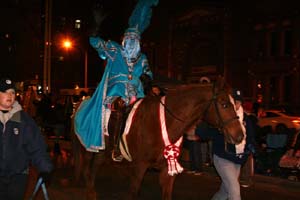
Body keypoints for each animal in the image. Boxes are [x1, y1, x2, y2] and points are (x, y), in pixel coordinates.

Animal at [71, 77, 245, 199]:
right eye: (224, 104)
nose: (240, 135)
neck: (163, 123)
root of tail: (80, 104)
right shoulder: (139, 167)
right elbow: (133, 192)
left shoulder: (167, 170)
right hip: (87, 148)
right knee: (86, 168)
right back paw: (89, 192)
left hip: (102, 150)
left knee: (95, 166)